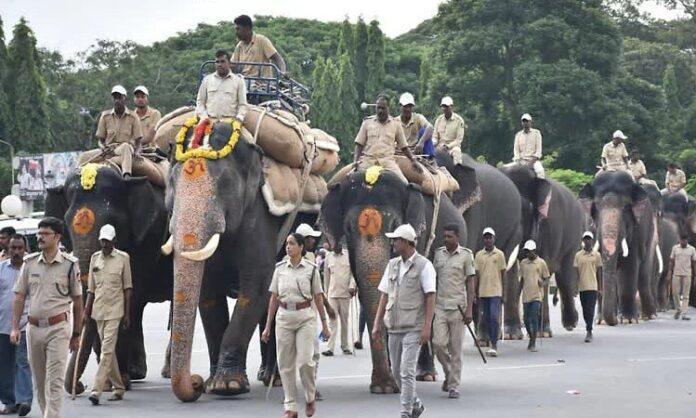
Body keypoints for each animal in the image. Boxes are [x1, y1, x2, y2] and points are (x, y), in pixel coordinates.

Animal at [45, 166, 173, 394]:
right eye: (66, 223)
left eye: (113, 222)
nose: (80, 385)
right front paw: (106, 384)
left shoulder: (151, 235)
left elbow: (130, 292)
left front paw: (117, 382)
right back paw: (137, 373)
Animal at [163, 121, 318, 402]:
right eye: (171, 186)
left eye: (223, 185)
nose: (195, 382)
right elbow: (208, 291)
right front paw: (213, 383)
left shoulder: (259, 217)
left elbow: (255, 286)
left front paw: (228, 386)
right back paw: (268, 377)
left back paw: (275, 379)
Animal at [320, 168, 468, 394]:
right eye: (348, 229)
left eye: (396, 226)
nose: (383, 388)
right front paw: (386, 385)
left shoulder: (419, 236)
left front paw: (390, 384)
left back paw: (427, 375)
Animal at [500, 164, 587, 334]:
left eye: (522, 208)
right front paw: (512, 333)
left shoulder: (549, 226)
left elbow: (541, 268)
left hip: (573, 235)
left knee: (565, 274)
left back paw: (567, 324)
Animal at [579, 171, 659, 324]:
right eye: (596, 208)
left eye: (626, 208)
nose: (615, 321)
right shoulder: (589, 226)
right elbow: (599, 269)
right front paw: (602, 321)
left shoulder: (637, 229)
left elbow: (630, 265)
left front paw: (628, 320)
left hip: (651, 234)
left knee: (643, 274)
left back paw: (649, 316)